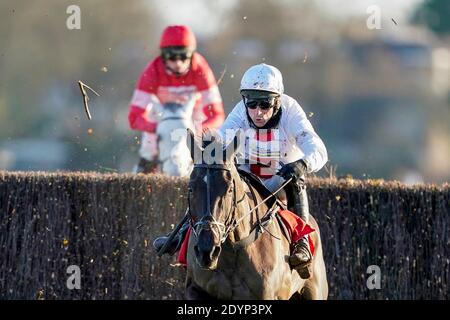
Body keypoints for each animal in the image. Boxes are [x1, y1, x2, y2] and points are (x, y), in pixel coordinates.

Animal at [183, 131, 326, 300]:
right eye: (191, 188)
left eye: (229, 189)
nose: (207, 251)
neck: (233, 249)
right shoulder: (194, 288)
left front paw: (295, 167)